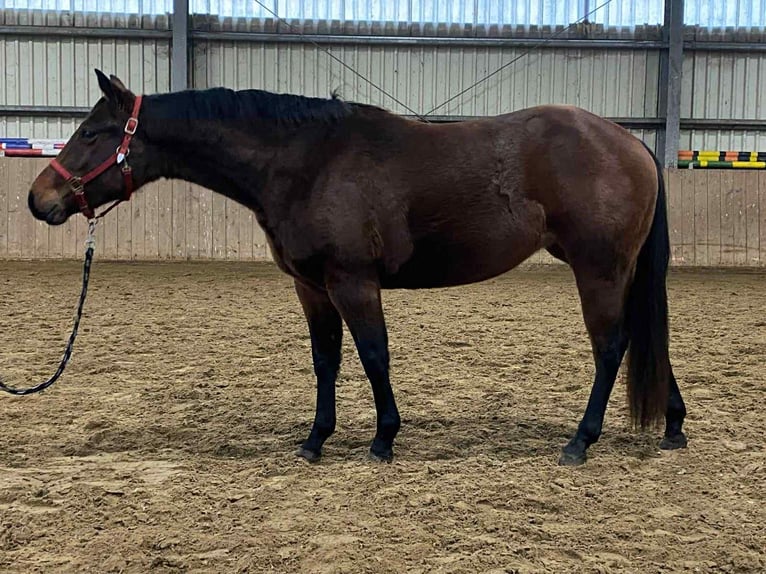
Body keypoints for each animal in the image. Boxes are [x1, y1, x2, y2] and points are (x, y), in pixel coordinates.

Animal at [27, 69, 688, 466]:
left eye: (92, 133)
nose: (39, 200)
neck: (306, 162)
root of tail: (631, 143)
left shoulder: (352, 281)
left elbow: (373, 356)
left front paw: (383, 438)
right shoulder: (312, 287)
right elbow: (327, 361)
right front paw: (315, 440)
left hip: (598, 270)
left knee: (611, 347)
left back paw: (580, 441)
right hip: (619, 273)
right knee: (644, 340)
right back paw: (674, 426)